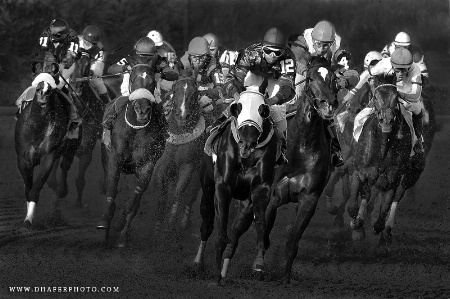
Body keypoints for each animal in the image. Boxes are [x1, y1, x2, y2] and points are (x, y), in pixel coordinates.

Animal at [14, 51, 78, 232]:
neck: (39, 126)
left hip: (71, 148)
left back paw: (61, 192)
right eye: (37, 83)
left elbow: (36, 189)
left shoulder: (48, 156)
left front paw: (28, 220)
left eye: (53, 80)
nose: (43, 92)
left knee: (64, 167)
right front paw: (27, 217)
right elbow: (28, 189)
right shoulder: (23, 158)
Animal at [95, 63, 167, 248]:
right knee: (107, 185)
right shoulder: (114, 158)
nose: (142, 110)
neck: (135, 129)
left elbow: (136, 197)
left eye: (152, 81)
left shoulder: (147, 164)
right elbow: (112, 187)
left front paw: (121, 224)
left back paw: (122, 238)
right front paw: (105, 222)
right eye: (133, 80)